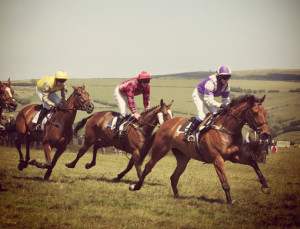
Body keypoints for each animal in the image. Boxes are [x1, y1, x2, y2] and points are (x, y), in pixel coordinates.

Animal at [130, 95, 270, 204]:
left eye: (265, 113)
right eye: (255, 113)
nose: (266, 134)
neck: (226, 129)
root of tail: (165, 124)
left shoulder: (235, 156)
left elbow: (253, 163)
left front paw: (265, 185)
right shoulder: (217, 159)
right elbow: (224, 182)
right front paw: (230, 201)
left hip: (183, 158)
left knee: (174, 176)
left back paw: (177, 195)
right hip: (160, 150)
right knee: (148, 167)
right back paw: (136, 186)